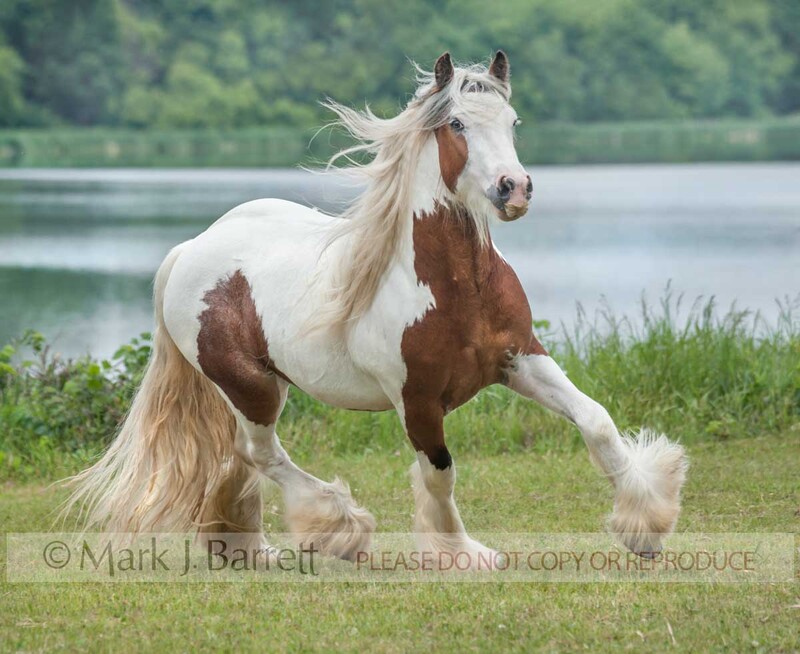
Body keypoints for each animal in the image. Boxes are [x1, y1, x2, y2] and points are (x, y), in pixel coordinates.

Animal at [66, 51, 687, 565]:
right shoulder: (416, 400)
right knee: (260, 454)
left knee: (236, 457)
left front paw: (645, 528)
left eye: (512, 123)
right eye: (457, 124)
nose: (514, 189)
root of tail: (191, 249)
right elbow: (440, 475)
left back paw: (248, 549)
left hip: (257, 386)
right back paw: (338, 530)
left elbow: (597, 422)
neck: (454, 289)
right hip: (251, 387)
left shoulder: (521, 359)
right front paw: (462, 554)